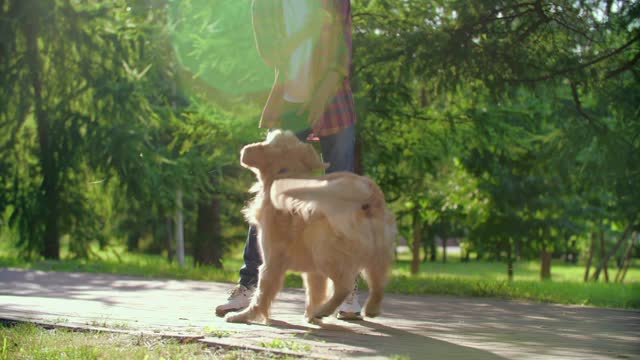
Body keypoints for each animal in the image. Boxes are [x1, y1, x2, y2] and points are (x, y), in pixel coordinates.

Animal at [225, 131, 396, 324]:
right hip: (376, 254)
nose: (244, 150)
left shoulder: (271, 261)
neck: (284, 174)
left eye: (267, 141)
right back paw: (370, 309)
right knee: (378, 284)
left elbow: (261, 294)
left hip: (325, 252)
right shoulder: (313, 272)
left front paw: (243, 315)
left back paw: (325, 310)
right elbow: (314, 292)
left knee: (345, 286)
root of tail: (366, 196)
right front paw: (311, 316)